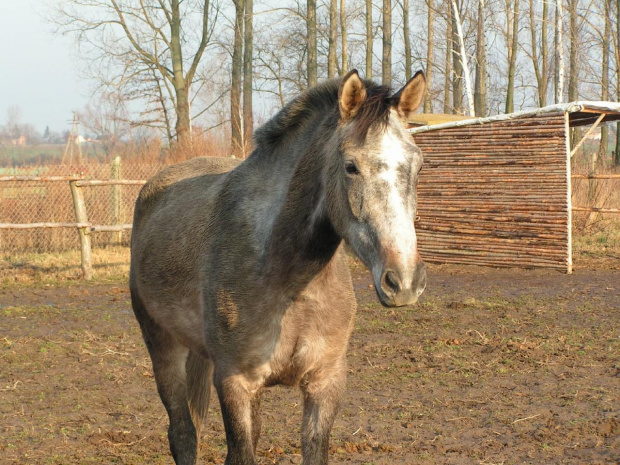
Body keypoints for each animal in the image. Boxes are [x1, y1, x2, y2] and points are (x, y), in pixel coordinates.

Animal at [130, 70, 426, 464]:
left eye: (418, 164)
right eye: (351, 166)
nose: (404, 281)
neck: (287, 279)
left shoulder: (325, 383)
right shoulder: (234, 382)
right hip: (163, 347)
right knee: (182, 434)